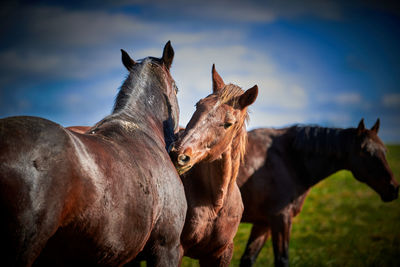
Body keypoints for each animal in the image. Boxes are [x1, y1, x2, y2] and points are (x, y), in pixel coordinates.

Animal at [170, 64, 260, 266]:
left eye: (228, 123)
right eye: (198, 105)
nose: (179, 155)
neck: (216, 204)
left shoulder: (221, 254)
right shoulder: (175, 251)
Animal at [239, 120, 398, 267]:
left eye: (385, 151)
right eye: (365, 152)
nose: (394, 188)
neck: (289, 160)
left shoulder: (264, 222)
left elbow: (248, 258)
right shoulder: (281, 218)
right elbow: (282, 260)